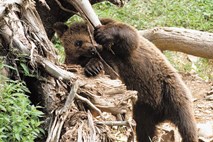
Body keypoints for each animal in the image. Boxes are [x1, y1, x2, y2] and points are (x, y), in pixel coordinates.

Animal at [53, 18, 198, 142]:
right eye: (78, 42)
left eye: (91, 37)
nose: (92, 49)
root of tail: (162, 113)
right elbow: (106, 79)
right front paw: (93, 67)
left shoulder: (118, 51)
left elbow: (129, 37)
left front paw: (103, 36)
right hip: (144, 108)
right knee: (145, 128)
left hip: (168, 89)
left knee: (186, 123)